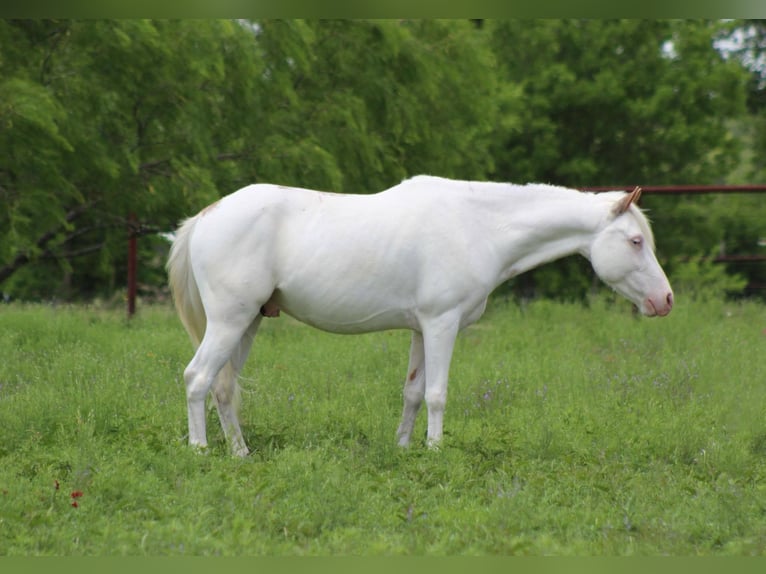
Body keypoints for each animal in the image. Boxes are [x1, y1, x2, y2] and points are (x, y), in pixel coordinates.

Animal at [167, 176, 673, 456]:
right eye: (635, 242)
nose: (665, 300)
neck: (480, 226)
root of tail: (207, 216)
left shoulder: (419, 329)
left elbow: (411, 393)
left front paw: (404, 449)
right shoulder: (441, 324)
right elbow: (436, 394)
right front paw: (435, 451)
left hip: (248, 323)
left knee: (224, 387)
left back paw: (240, 452)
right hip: (230, 322)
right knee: (197, 378)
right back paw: (199, 450)